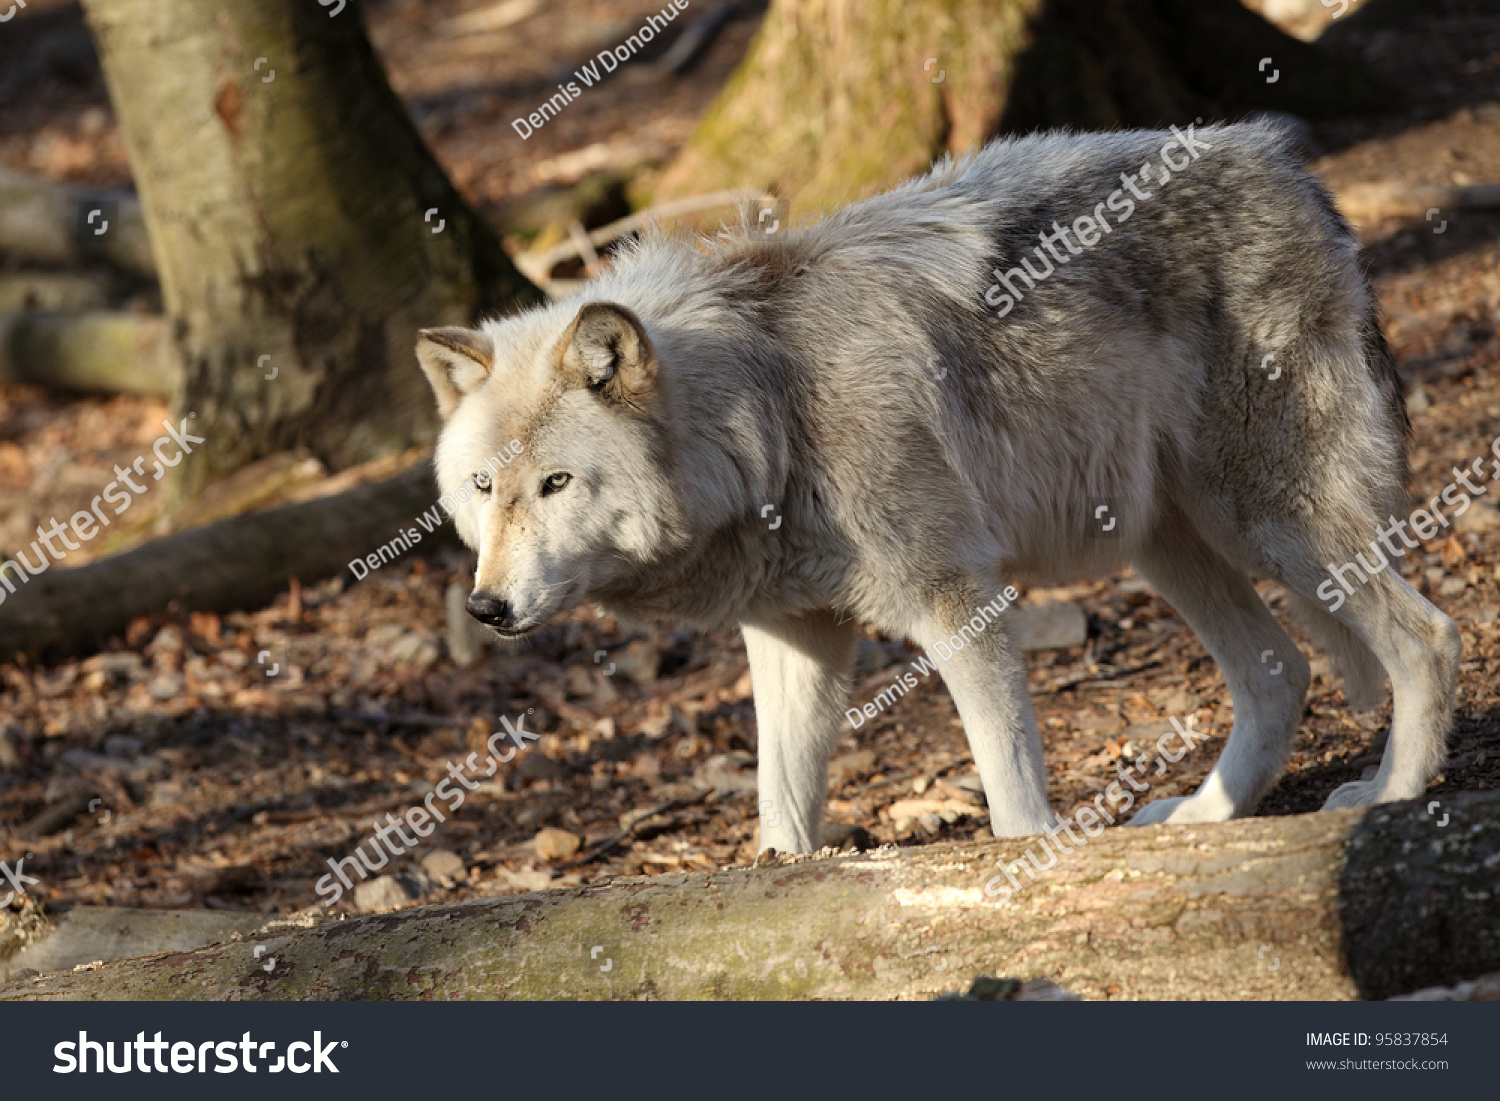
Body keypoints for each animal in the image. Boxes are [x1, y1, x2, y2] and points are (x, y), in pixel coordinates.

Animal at [417, 123, 1458, 864]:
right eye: (484, 486)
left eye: (556, 483)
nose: (487, 606)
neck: (764, 414)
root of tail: (1287, 164)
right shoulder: (792, 635)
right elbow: (781, 803)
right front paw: (774, 875)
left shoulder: (959, 601)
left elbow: (1008, 786)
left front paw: (1029, 864)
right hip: (1165, 544)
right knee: (1279, 672)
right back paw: (1202, 816)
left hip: (1272, 523)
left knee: (1426, 637)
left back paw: (1392, 798)